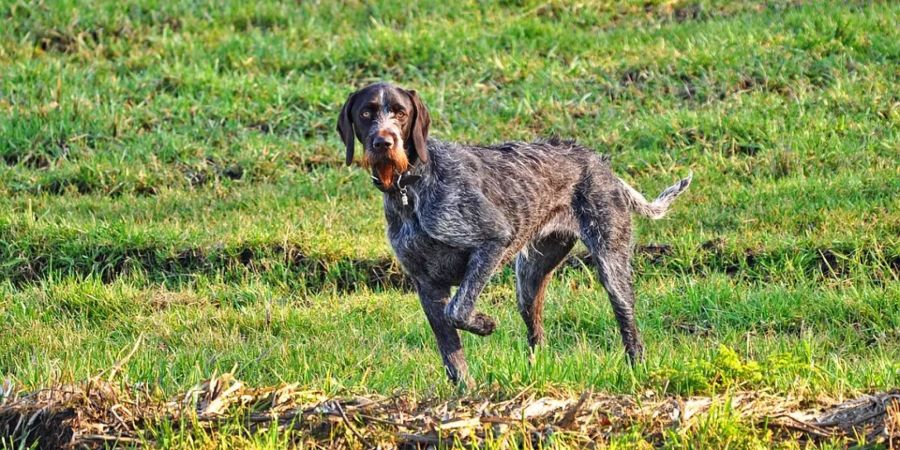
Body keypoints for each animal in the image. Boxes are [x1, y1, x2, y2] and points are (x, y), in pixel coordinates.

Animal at [334, 82, 692, 384]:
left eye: (400, 113)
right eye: (366, 113)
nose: (384, 142)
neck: (410, 189)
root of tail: (599, 162)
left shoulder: (492, 241)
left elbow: (458, 311)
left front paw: (485, 324)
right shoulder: (427, 285)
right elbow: (452, 354)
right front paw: (467, 397)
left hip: (611, 265)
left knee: (629, 328)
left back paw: (637, 370)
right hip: (529, 281)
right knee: (537, 336)